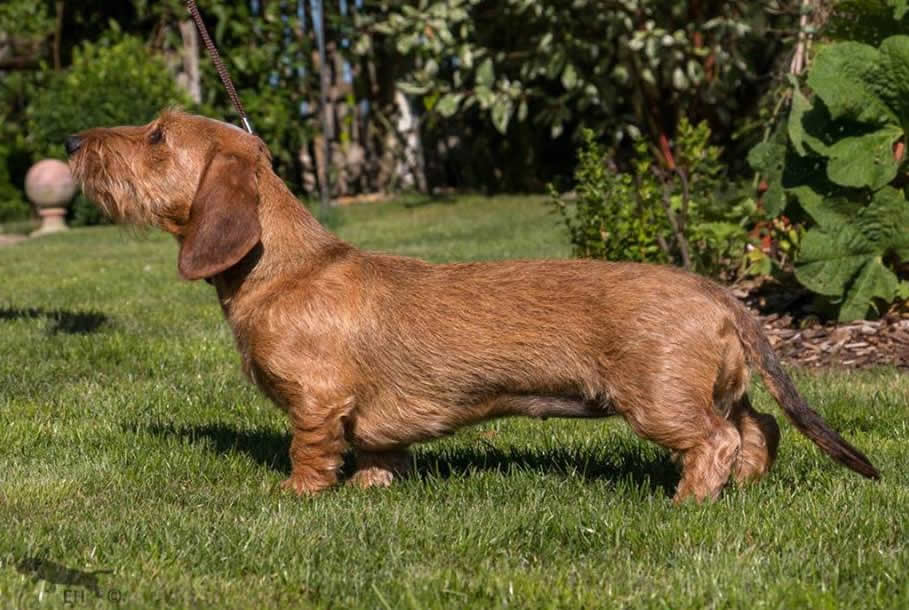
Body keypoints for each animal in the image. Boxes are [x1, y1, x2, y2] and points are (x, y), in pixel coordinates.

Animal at [65, 109, 880, 498]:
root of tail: (719, 292)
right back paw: (742, 487)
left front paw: (298, 494)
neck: (286, 266)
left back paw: (688, 501)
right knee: (756, 429)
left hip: (660, 399)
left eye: (157, 134)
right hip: (717, 385)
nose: (71, 142)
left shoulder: (318, 401)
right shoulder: (370, 419)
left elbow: (311, 448)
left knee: (714, 440)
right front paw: (372, 489)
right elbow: (378, 452)